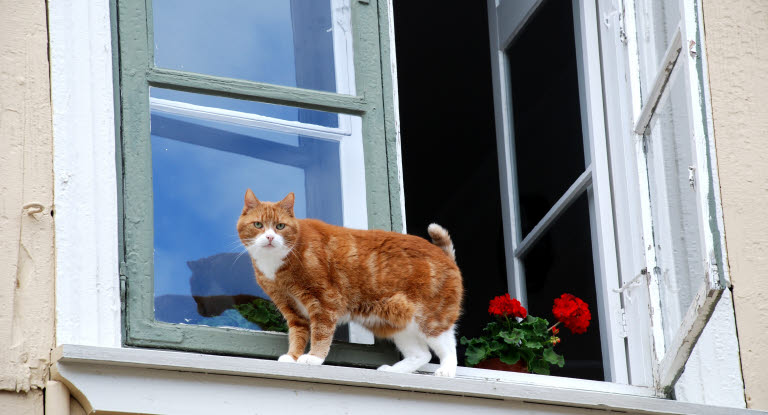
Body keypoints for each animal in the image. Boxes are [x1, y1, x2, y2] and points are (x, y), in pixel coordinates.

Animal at [236, 191, 462, 376]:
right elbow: (298, 334)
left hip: (430, 317)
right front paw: (292, 357)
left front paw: (314, 358)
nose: (270, 237)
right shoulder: (291, 308)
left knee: (448, 345)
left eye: (280, 226)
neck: (276, 264)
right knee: (421, 354)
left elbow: (321, 332)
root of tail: (445, 255)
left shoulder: (323, 300)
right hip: (396, 322)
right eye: (258, 225)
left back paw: (447, 370)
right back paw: (392, 371)